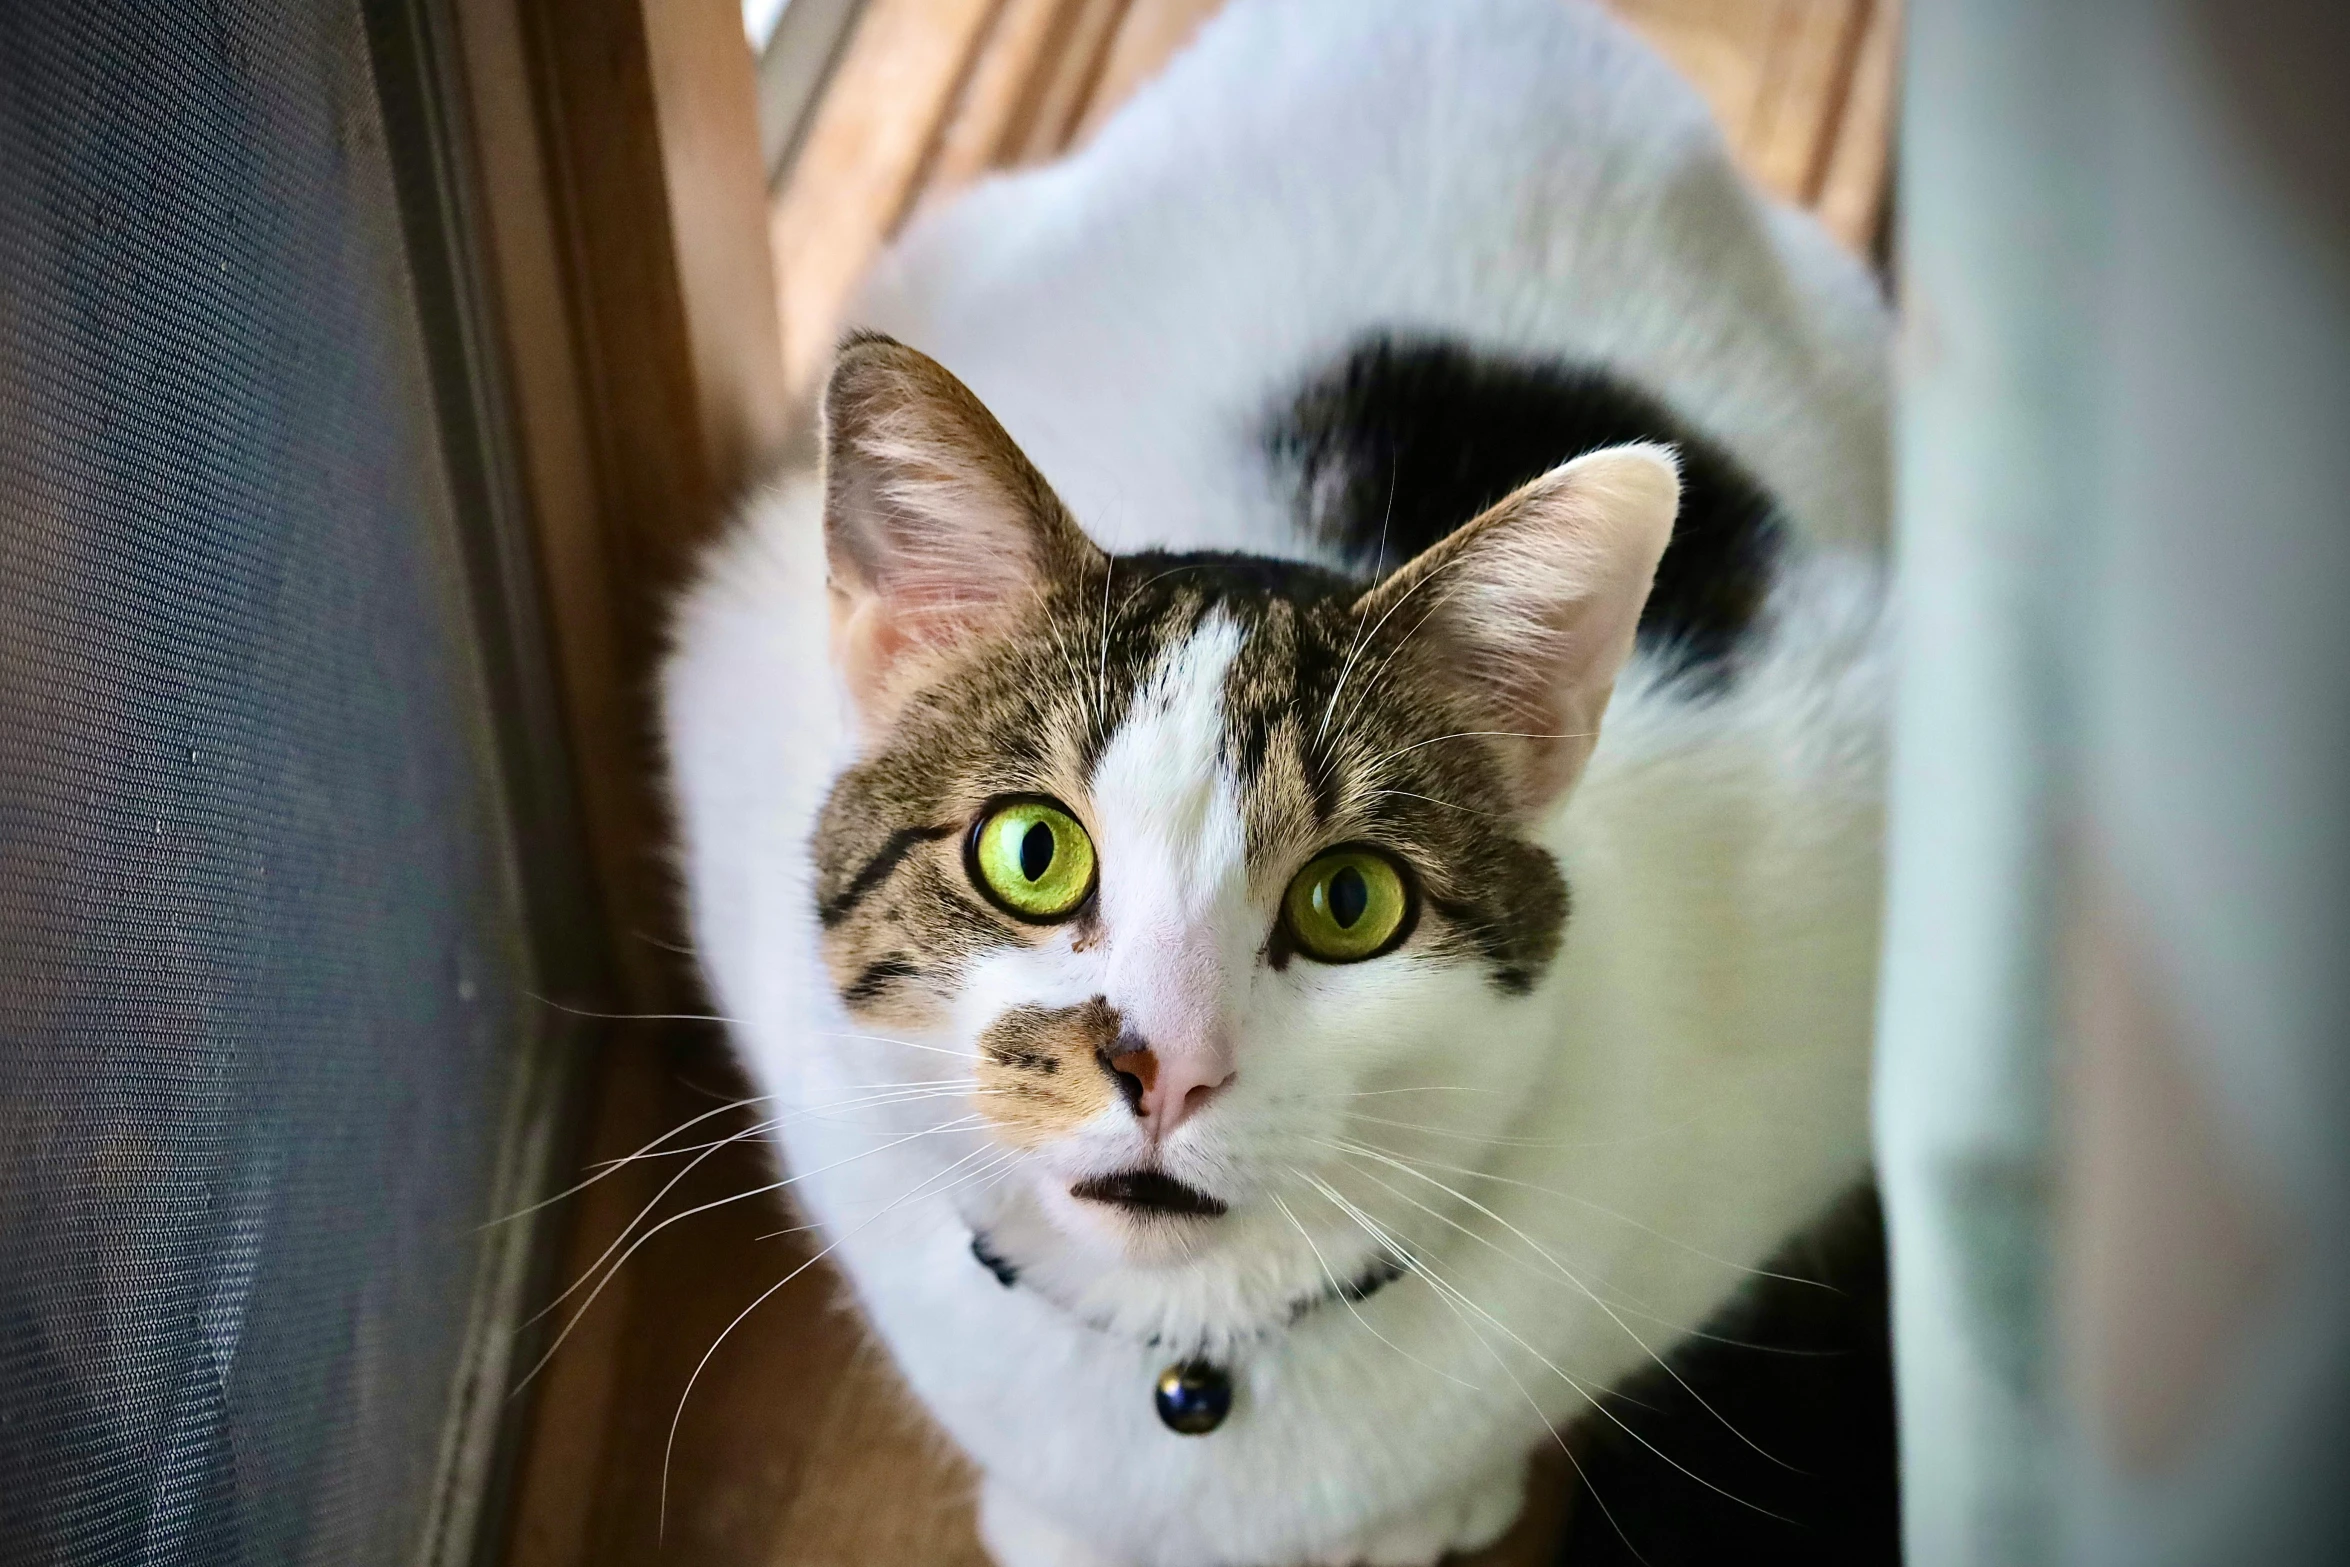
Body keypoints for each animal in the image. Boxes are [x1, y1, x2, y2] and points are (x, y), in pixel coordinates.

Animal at [662, 3, 1889, 1567]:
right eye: (1031, 853)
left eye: (1350, 899)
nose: (1163, 1065)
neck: (1195, 1345)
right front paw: (1053, 1518)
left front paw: (1430, 1503)